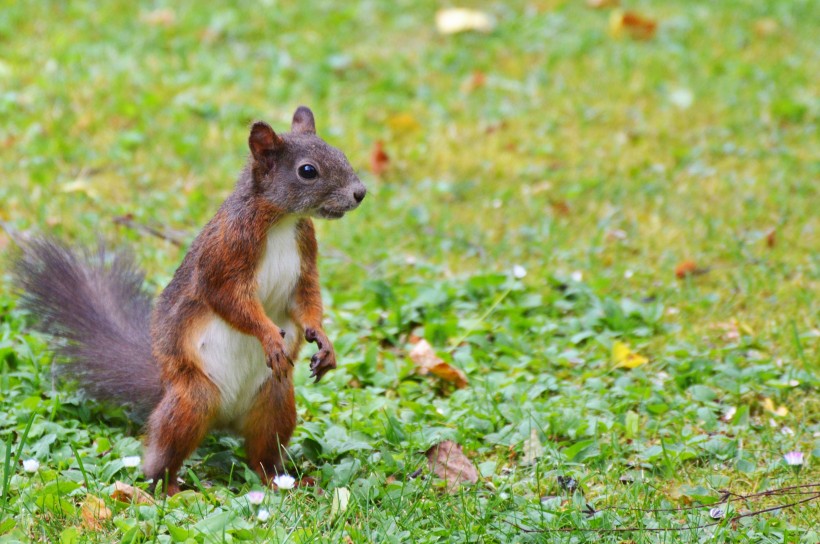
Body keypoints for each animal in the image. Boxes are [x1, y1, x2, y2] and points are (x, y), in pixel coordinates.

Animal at [11, 105, 366, 492]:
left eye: (340, 153)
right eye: (307, 171)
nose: (360, 192)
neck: (282, 221)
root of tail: (222, 419)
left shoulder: (305, 259)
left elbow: (307, 300)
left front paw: (323, 341)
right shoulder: (225, 252)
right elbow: (229, 300)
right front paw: (270, 336)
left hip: (274, 400)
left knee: (262, 455)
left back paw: (280, 480)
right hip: (193, 398)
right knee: (164, 451)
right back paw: (169, 487)